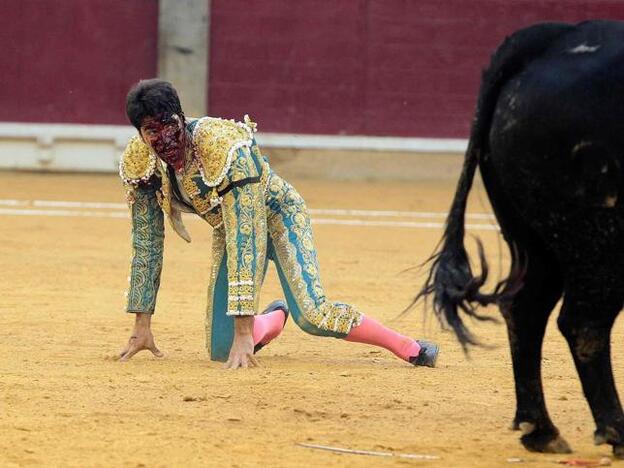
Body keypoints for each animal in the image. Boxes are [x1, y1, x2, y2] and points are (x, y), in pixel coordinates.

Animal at [420, 21, 624, 458]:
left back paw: (541, 429)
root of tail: (553, 38)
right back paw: (614, 430)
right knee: (583, 324)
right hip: (598, 240)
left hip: (539, 243)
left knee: (524, 308)